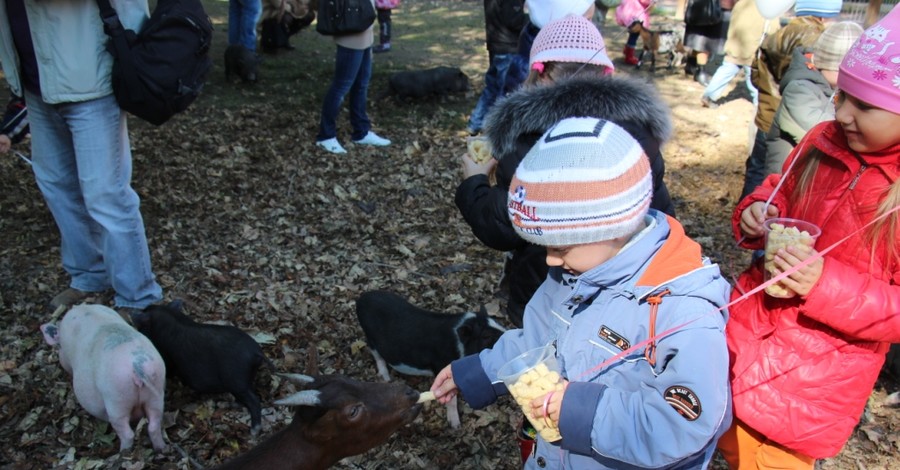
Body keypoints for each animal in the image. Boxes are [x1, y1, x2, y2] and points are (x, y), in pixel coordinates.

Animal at [40, 304, 168, 452]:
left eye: (59, 347)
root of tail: (136, 366)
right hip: (156, 391)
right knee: (154, 425)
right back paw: (161, 448)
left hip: (116, 399)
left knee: (127, 432)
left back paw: (123, 451)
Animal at [354, 288, 506, 428]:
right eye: (486, 336)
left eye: (497, 323)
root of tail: (362, 298)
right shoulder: (441, 365)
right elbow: (451, 400)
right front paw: (456, 427)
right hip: (370, 337)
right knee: (377, 356)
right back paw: (386, 379)